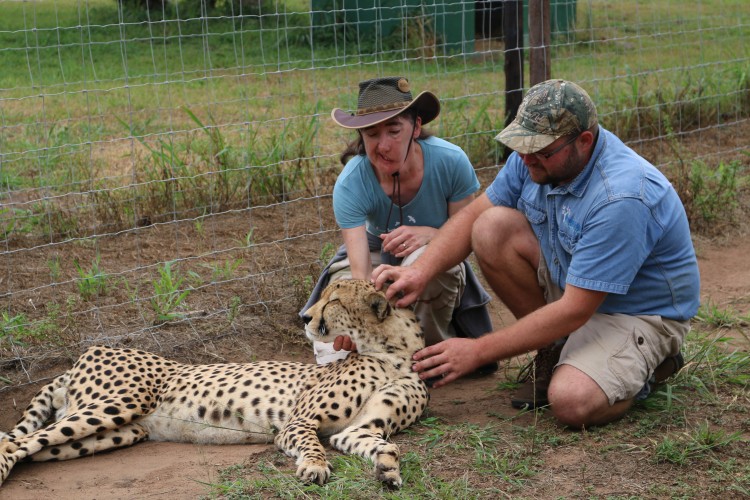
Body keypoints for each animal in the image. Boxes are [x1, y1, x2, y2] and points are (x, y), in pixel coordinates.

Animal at [0, 282, 432, 488]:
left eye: (335, 299)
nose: (305, 317)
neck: (392, 351)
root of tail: (91, 350)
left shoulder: (356, 430)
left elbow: (384, 444)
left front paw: (388, 469)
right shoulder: (297, 423)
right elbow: (311, 444)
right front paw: (313, 466)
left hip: (117, 431)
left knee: (28, 449)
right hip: (119, 403)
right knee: (16, 443)